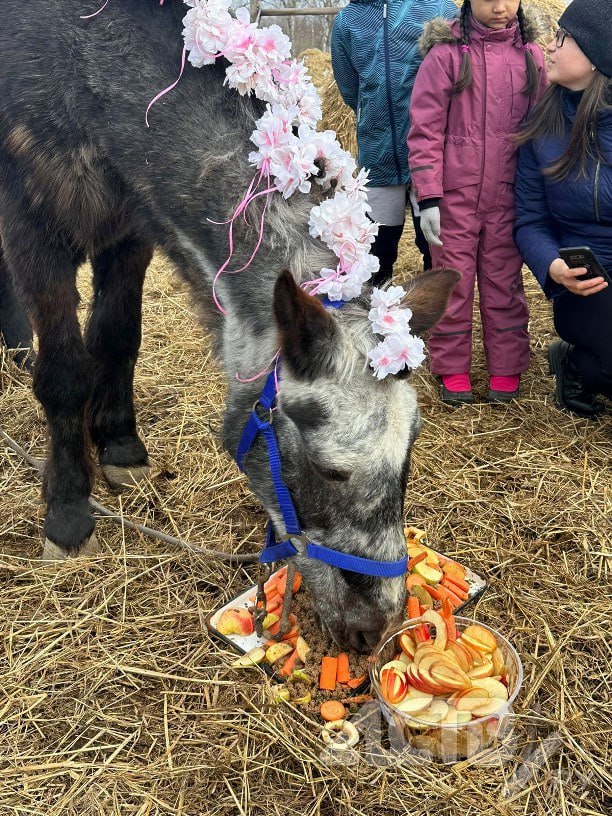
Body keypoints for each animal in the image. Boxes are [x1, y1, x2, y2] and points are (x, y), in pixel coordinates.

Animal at [0, 0, 460, 652]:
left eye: (409, 457)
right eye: (328, 469)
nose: (374, 629)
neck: (83, 59)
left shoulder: (130, 228)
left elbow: (116, 335)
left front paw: (119, 444)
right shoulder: (33, 222)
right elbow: (65, 372)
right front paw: (67, 514)